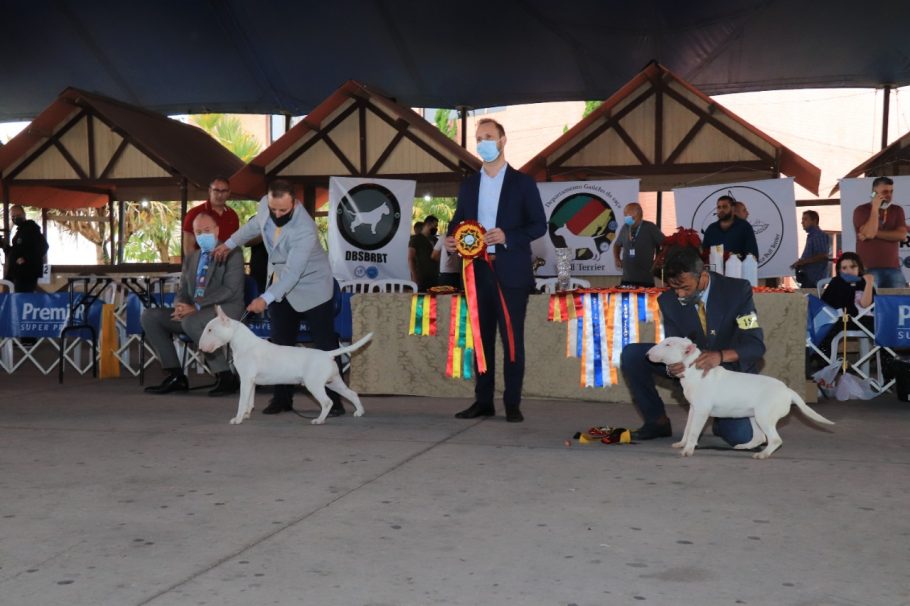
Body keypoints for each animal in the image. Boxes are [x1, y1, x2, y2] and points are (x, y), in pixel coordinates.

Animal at [198, 306, 372, 426]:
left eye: (210, 330)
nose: (200, 347)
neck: (244, 343)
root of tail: (327, 354)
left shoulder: (246, 380)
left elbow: (242, 401)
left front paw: (237, 419)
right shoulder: (251, 381)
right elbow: (249, 400)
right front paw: (247, 415)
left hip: (314, 384)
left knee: (327, 402)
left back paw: (319, 420)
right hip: (334, 382)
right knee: (352, 394)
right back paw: (360, 412)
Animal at [648, 338, 832, 460]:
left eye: (668, 344)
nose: (647, 353)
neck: (694, 370)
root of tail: (787, 391)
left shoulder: (702, 411)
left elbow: (694, 431)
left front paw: (688, 450)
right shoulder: (693, 409)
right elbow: (688, 428)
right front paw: (682, 444)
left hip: (764, 416)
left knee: (774, 439)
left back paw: (762, 454)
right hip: (753, 415)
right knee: (760, 437)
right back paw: (744, 447)